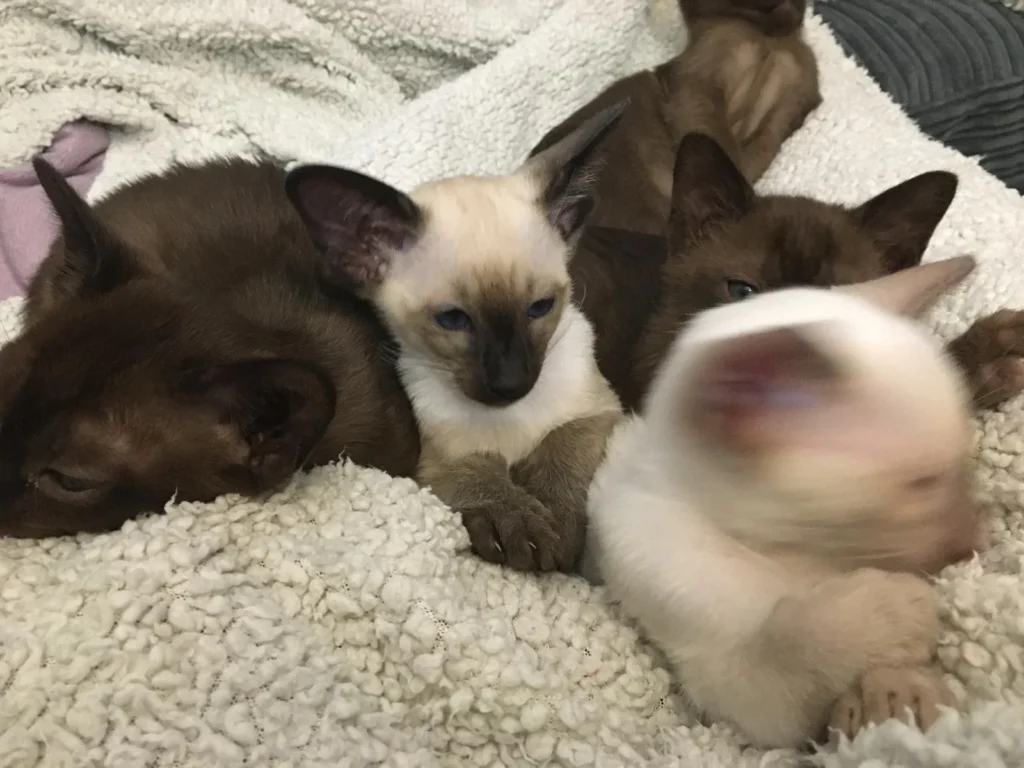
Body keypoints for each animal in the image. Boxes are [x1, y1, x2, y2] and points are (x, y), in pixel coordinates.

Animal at [284, 102, 626, 573]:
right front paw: (519, 523)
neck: (510, 417)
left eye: (540, 308)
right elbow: (477, 472)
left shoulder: (598, 413)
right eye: (452, 320)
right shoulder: (436, 461)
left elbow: (562, 446)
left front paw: (557, 526)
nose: (511, 383)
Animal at [593, 256, 983, 749]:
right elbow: (794, 638)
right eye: (922, 483)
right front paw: (900, 607)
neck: (788, 551)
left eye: (961, 464)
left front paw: (908, 693)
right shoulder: (729, 680)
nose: (977, 540)